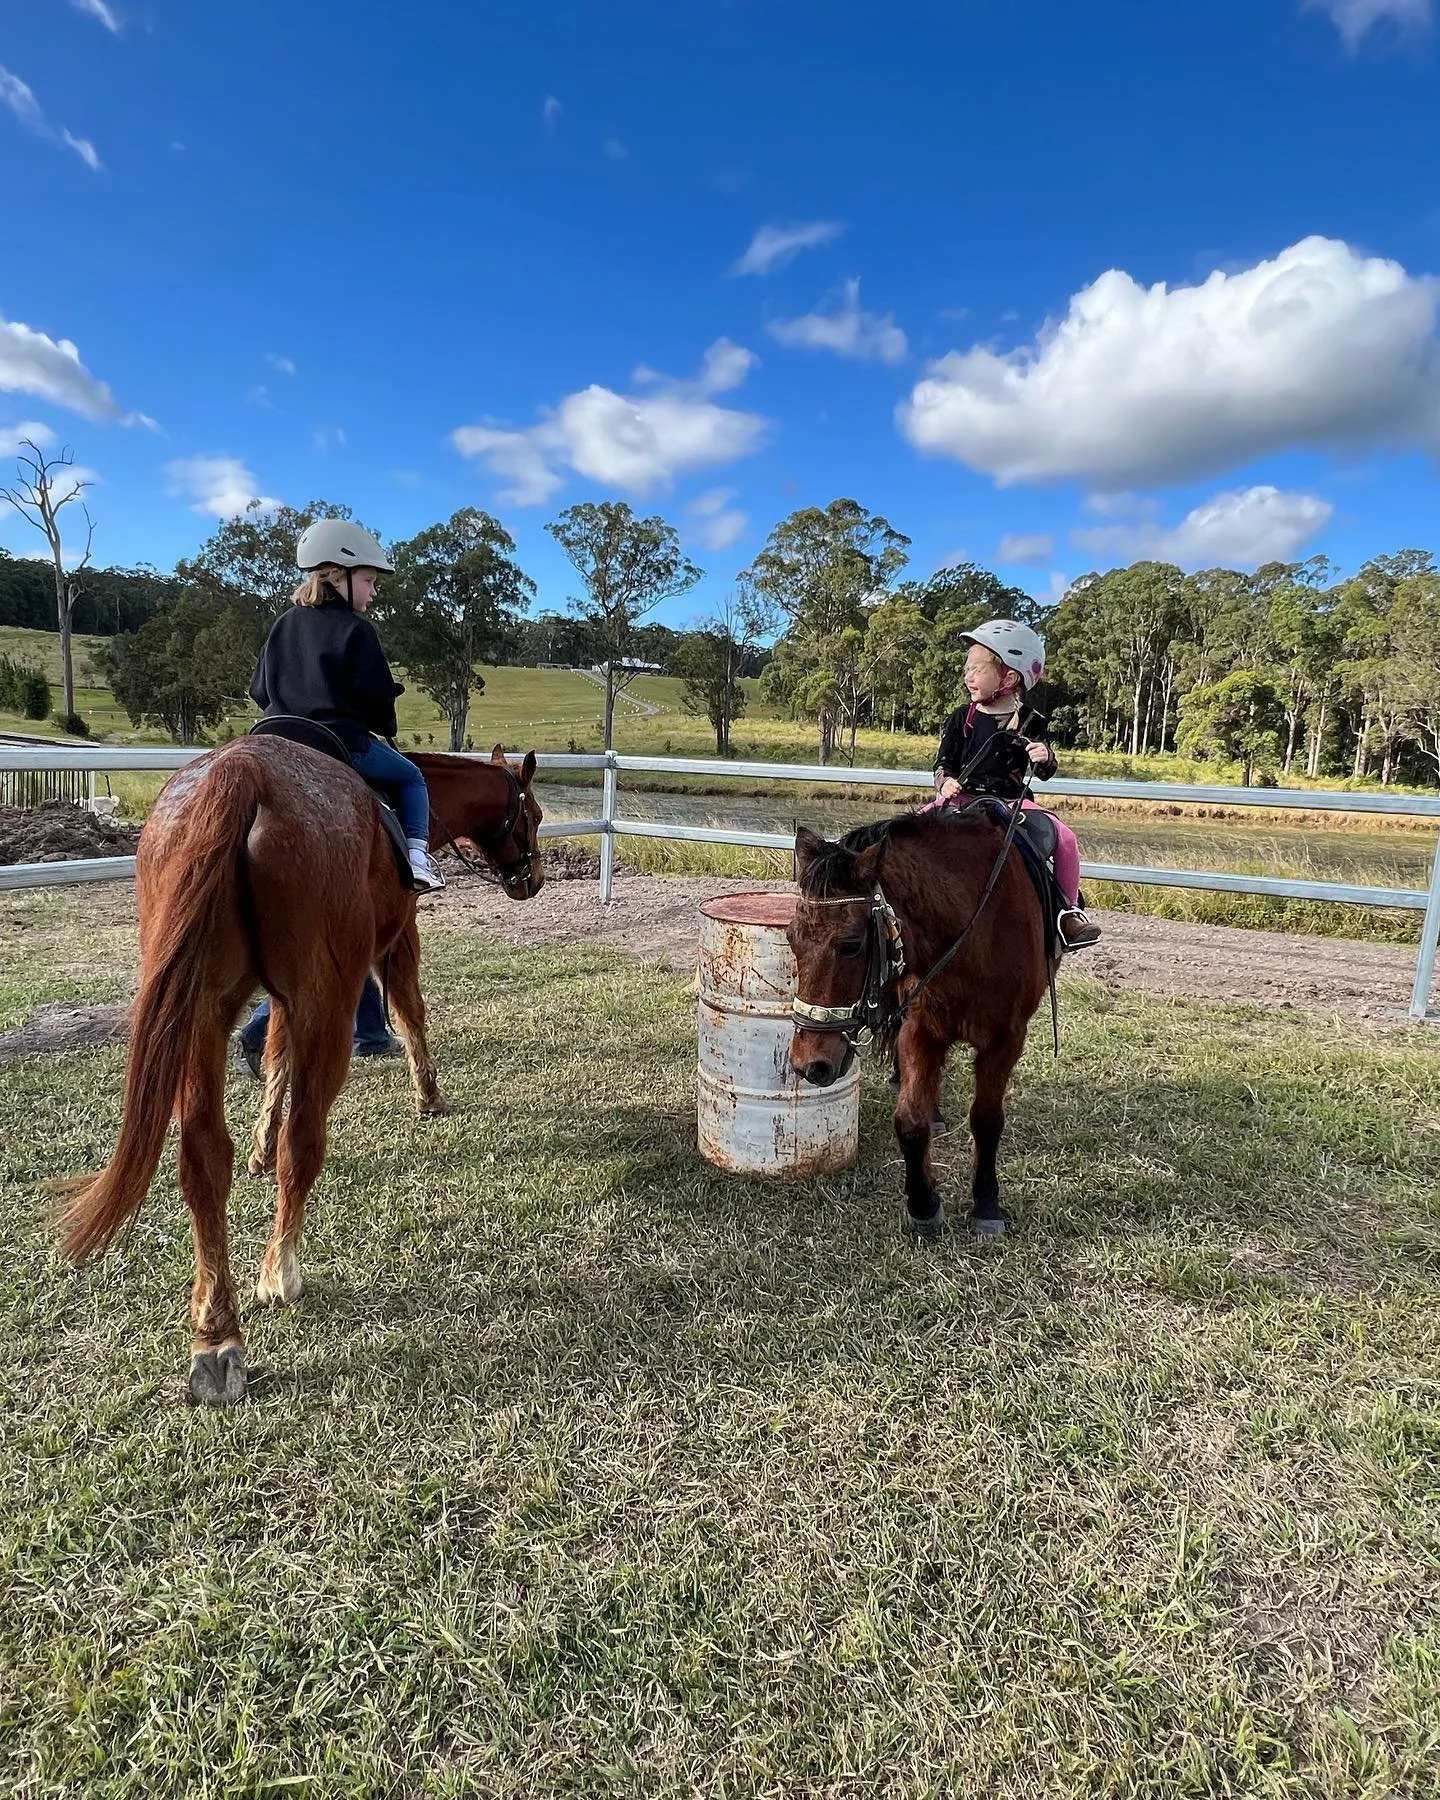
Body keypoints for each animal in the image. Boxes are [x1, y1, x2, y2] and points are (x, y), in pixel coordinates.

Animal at [55, 738, 543, 1405]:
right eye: (534, 816)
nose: (533, 880)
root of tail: (240, 772)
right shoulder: (394, 942)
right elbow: (408, 1011)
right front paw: (429, 1094)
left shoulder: (280, 998)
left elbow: (275, 1054)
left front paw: (259, 1141)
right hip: (325, 1001)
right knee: (305, 1139)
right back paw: (280, 1268)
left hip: (201, 1009)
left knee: (203, 1153)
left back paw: (217, 1336)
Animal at [787, 811, 1054, 1240]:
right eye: (792, 938)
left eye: (850, 945)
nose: (808, 1063)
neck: (973, 932)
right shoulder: (920, 1030)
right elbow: (910, 1120)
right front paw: (923, 1203)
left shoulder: (1006, 1040)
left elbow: (987, 1119)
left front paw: (986, 1204)